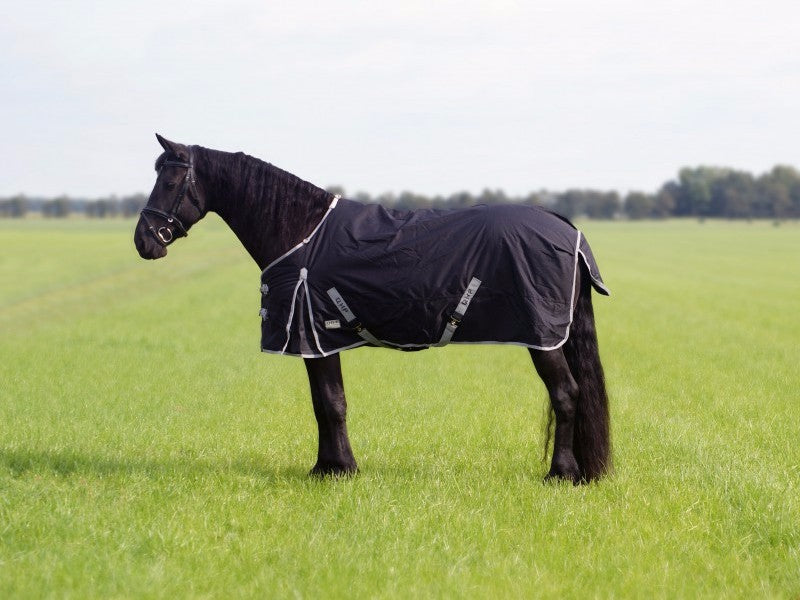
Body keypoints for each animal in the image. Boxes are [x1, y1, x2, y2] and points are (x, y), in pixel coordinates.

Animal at [134, 134, 612, 484]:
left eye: (170, 181)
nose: (144, 241)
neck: (301, 233)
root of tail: (565, 226)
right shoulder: (320, 342)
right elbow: (325, 403)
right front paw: (328, 466)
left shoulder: (314, 337)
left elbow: (330, 403)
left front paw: (337, 471)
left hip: (544, 338)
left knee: (566, 394)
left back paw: (561, 474)